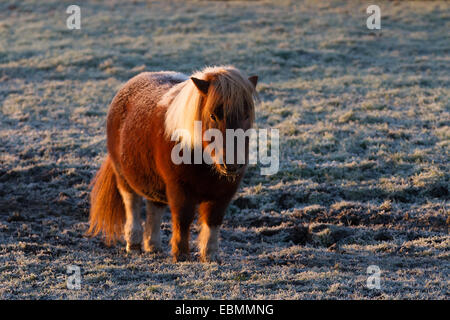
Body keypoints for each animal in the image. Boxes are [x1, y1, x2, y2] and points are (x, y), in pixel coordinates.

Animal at [88, 66, 258, 262]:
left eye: (246, 115)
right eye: (213, 115)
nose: (231, 164)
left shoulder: (224, 193)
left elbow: (213, 221)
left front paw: (210, 256)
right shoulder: (179, 188)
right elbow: (183, 219)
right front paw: (181, 254)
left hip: (154, 182)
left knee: (154, 209)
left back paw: (153, 246)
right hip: (124, 178)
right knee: (132, 206)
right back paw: (134, 244)